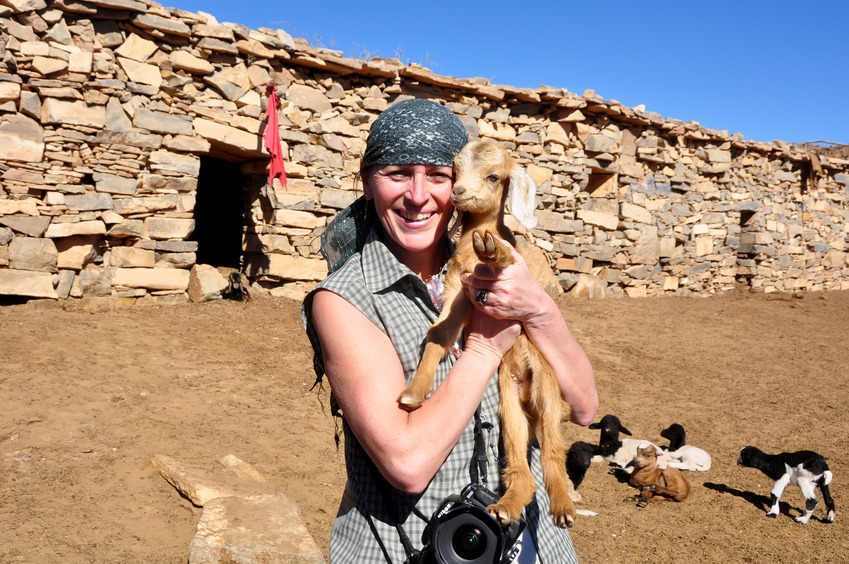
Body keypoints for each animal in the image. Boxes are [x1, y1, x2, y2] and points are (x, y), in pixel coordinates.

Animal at [398, 140, 576, 528]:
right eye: (454, 170)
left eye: (494, 177)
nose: (459, 192)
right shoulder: (457, 291)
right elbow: (438, 334)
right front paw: (414, 394)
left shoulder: (498, 279)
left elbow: (502, 262)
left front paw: (492, 250)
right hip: (508, 398)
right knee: (519, 460)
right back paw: (507, 505)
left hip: (547, 386)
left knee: (553, 450)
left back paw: (563, 506)